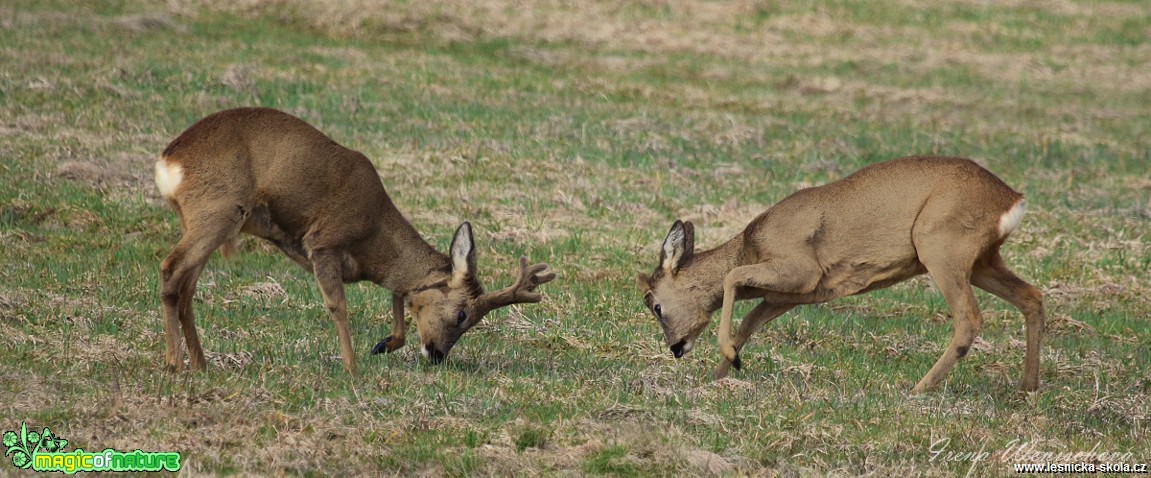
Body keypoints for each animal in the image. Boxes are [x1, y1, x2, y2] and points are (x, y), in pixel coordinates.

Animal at [154, 108, 557, 373]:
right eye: (462, 314)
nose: (437, 355)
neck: (374, 239)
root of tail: (167, 160)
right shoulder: (324, 241)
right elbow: (339, 306)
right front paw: (351, 367)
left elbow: (400, 294)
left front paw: (383, 345)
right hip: (217, 211)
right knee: (170, 270)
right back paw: (175, 363)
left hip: (206, 220)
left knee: (187, 287)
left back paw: (201, 364)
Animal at [639, 156, 1045, 393]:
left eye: (655, 306)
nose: (676, 348)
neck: (753, 243)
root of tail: (1012, 199)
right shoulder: (792, 294)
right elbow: (750, 321)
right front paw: (717, 376)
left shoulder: (801, 269)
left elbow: (731, 278)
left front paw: (727, 360)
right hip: (982, 260)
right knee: (1032, 296)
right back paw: (1027, 388)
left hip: (940, 244)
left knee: (969, 318)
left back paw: (918, 389)